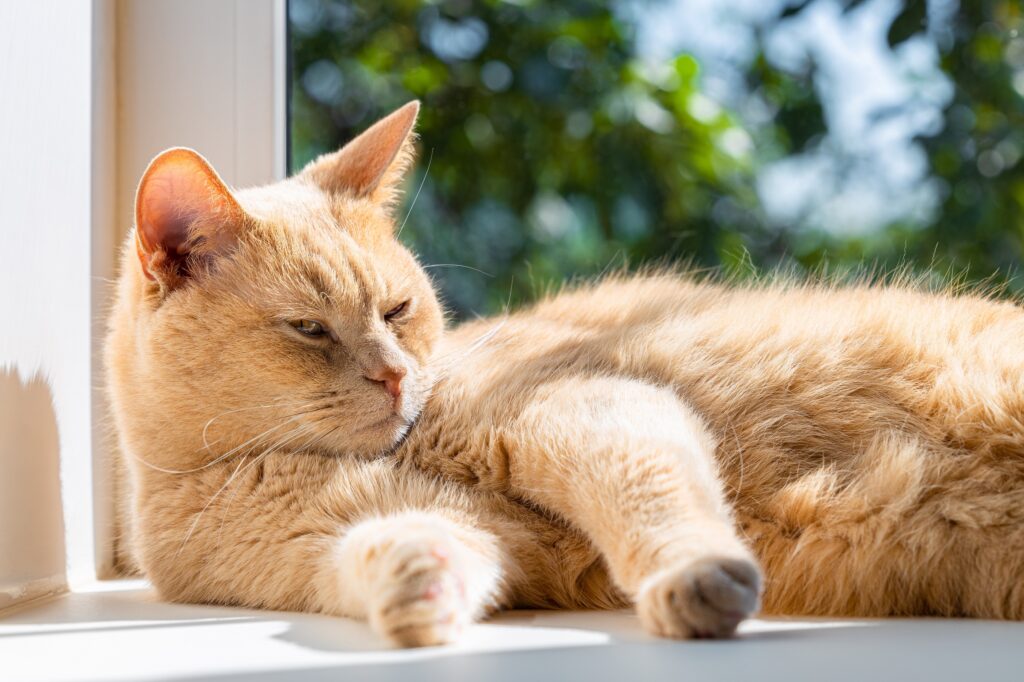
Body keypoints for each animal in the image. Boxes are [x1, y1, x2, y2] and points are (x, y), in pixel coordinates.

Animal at [105, 99, 1024, 643]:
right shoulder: (368, 539)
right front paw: (414, 593)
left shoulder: (581, 408)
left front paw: (694, 578)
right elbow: (393, 548)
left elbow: (650, 499)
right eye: (308, 329)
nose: (397, 377)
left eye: (398, 311)